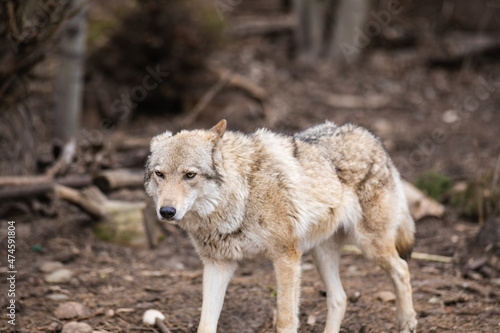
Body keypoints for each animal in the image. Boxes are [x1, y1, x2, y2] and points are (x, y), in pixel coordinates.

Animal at [145, 119, 418, 332]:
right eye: (160, 174)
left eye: (189, 175)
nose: (166, 211)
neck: (243, 195)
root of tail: (373, 137)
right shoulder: (217, 265)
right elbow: (205, 324)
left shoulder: (286, 258)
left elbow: (285, 321)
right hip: (321, 254)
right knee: (340, 298)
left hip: (370, 246)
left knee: (402, 269)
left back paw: (407, 323)